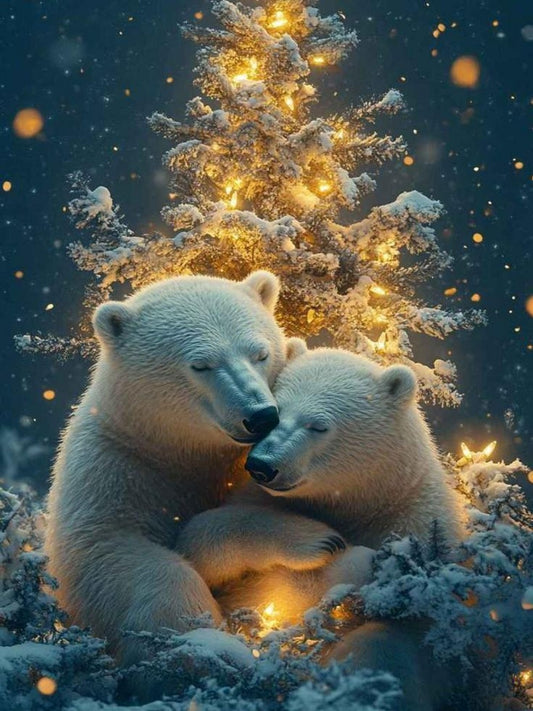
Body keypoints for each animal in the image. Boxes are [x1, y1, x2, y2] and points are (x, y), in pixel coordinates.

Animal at [45, 272, 342, 664]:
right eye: (201, 365)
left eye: (260, 353)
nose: (261, 416)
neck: (188, 450)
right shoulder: (115, 464)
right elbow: (103, 547)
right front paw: (198, 636)